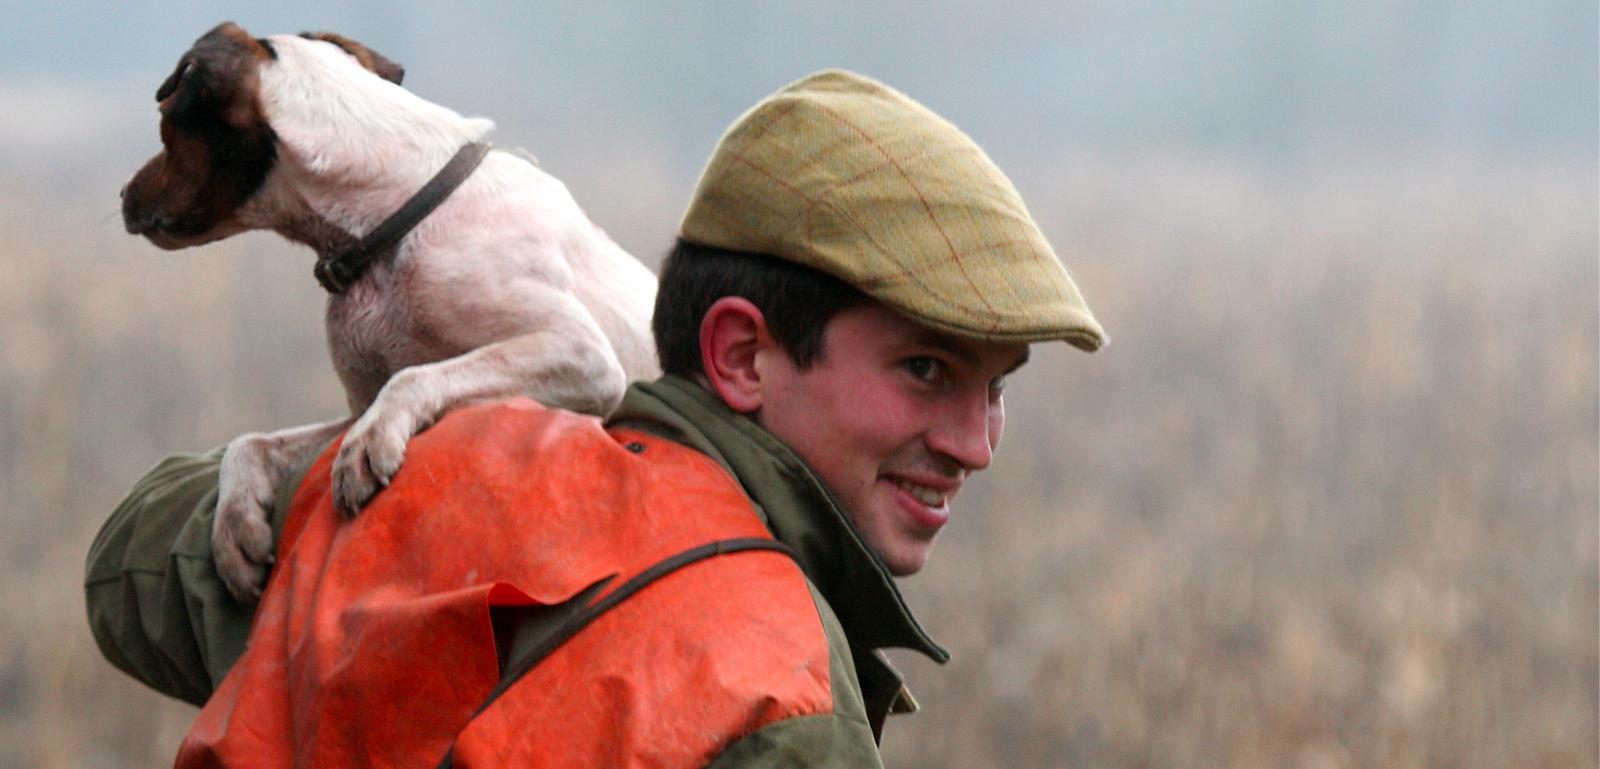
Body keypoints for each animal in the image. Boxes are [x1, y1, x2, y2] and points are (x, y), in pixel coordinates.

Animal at [116, 22, 656, 601]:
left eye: (167, 126)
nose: (123, 194)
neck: (391, 218)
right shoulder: (356, 405)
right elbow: (252, 442)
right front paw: (234, 528)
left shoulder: (585, 357)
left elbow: (415, 376)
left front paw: (368, 445)